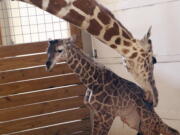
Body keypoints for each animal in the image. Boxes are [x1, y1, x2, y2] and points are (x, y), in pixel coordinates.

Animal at [45, 37, 179, 135]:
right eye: (47, 51)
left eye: (59, 50)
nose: (47, 65)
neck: (91, 82)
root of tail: (151, 103)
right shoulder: (97, 114)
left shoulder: (108, 116)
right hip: (135, 121)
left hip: (147, 118)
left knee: (170, 131)